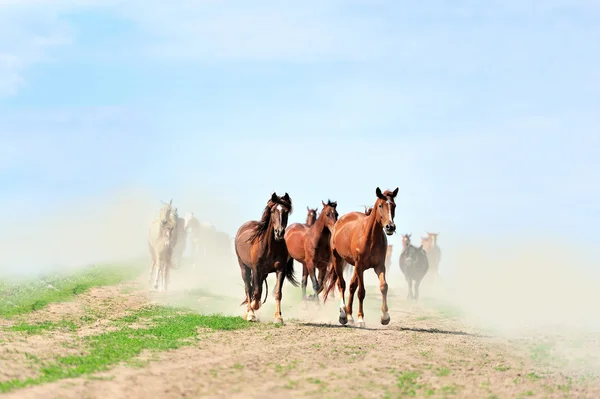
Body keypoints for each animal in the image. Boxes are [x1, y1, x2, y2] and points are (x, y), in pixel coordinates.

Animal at [234, 192, 300, 324]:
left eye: (286, 211)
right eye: (273, 210)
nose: (279, 232)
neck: (269, 247)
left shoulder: (280, 270)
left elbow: (278, 293)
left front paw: (278, 317)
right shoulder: (256, 269)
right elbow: (256, 293)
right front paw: (252, 311)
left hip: (263, 273)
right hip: (244, 268)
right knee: (248, 289)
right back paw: (249, 313)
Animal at [322, 188, 400, 328]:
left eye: (394, 205)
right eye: (380, 205)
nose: (390, 227)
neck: (370, 238)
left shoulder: (379, 266)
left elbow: (383, 287)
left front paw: (385, 317)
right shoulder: (360, 265)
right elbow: (361, 292)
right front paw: (360, 319)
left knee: (352, 286)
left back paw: (349, 316)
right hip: (338, 260)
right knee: (341, 284)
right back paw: (343, 315)